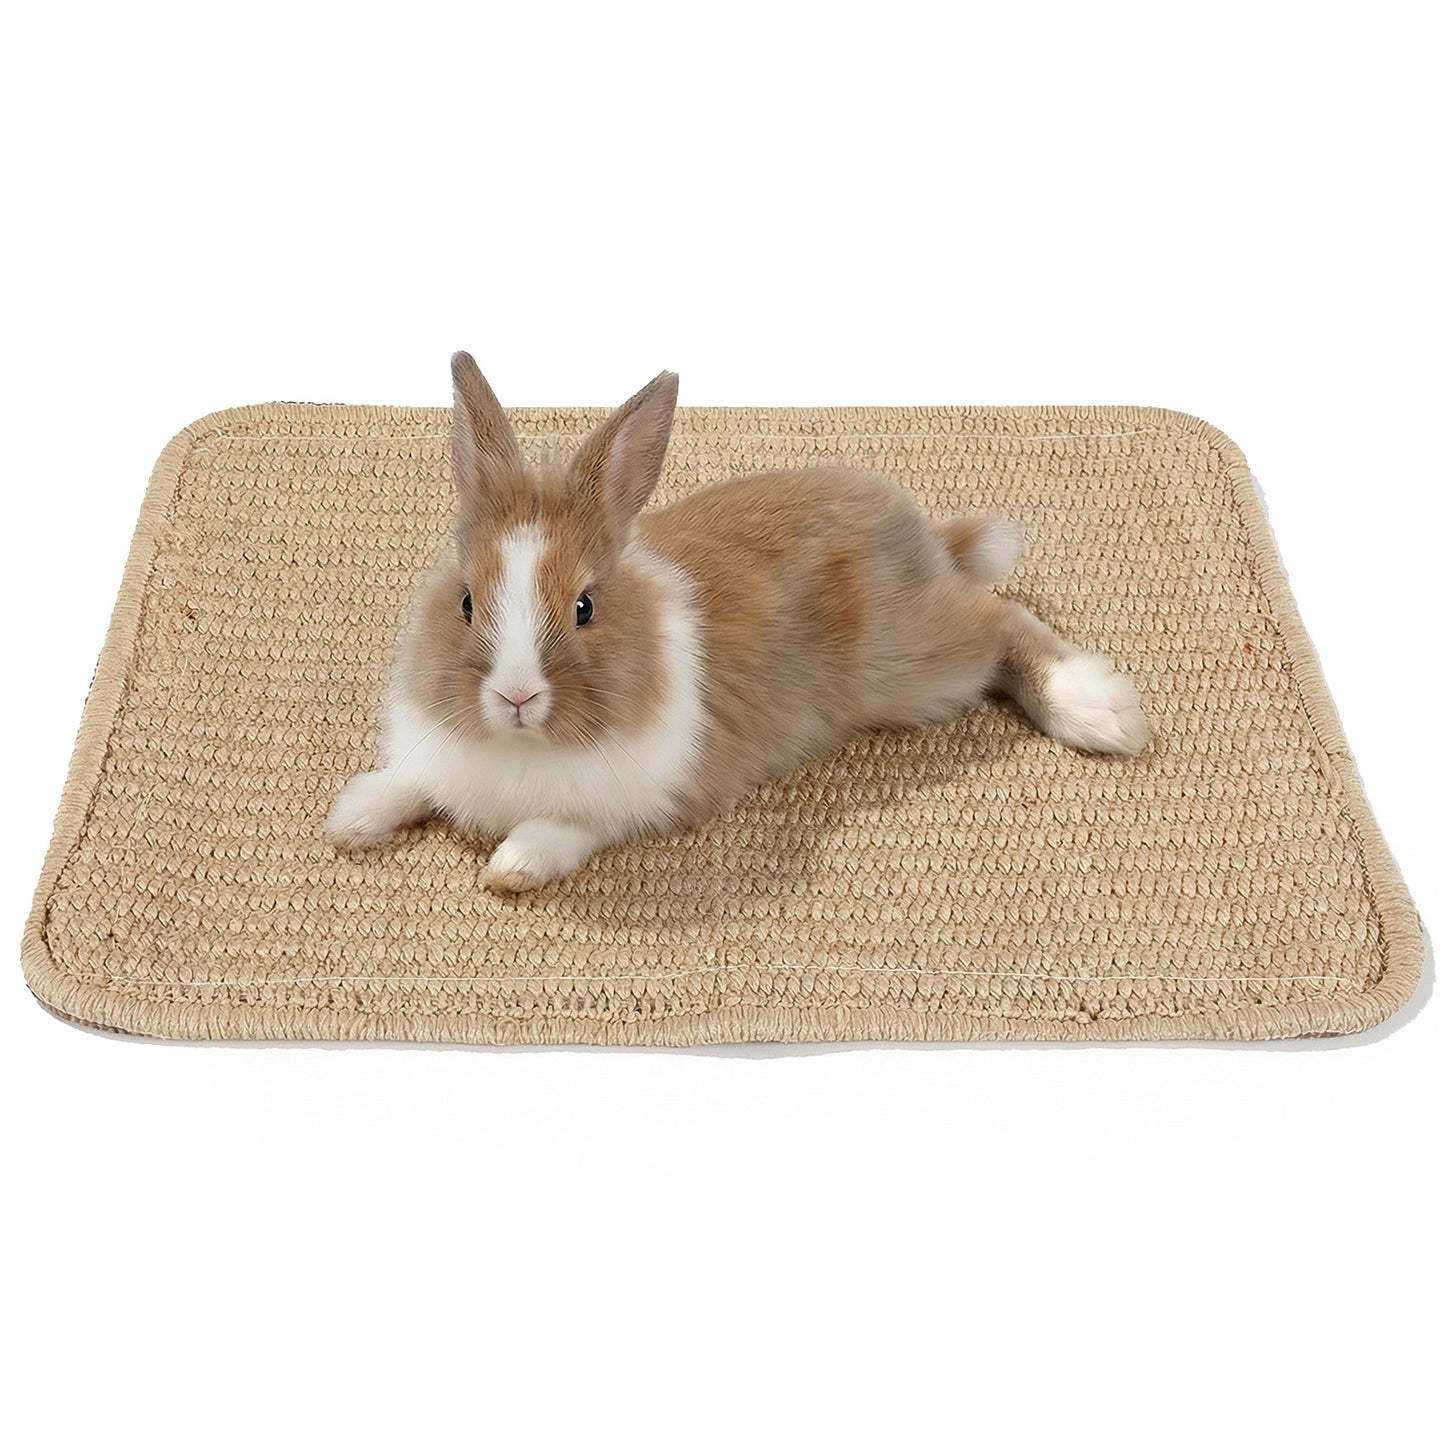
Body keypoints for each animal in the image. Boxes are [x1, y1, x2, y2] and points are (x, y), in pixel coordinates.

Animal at [324, 353, 1149, 891]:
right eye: (466, 600)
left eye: (585, 606)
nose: (516, 697)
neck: (521, 746)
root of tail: (923, 541)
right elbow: (409, 783)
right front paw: (352, 817)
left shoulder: (640, 798)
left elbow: (563, 829)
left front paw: (512, 867)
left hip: (912, 668)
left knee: (1002, 617)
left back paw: (1098, 710)